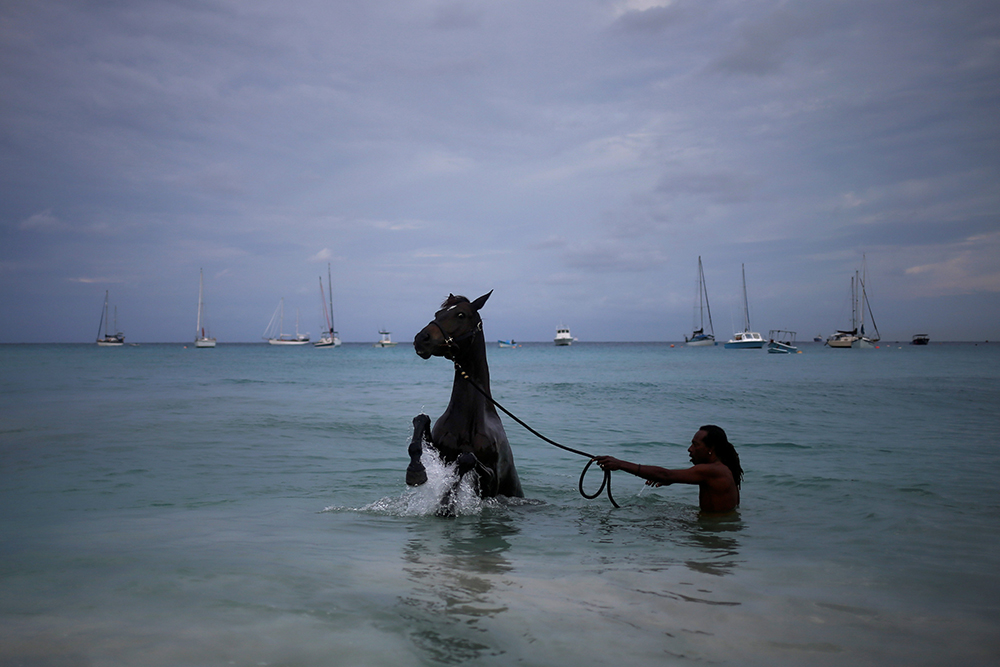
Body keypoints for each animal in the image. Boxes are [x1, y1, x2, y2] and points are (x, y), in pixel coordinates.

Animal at [408, 291, 524, 506]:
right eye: (438, 313)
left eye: (461, 315)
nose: (421, 339)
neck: (466, 420)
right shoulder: (440, 452)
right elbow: (421, 420)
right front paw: (415, 472)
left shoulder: (492, 481)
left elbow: (466, 460)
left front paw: (445, 504)